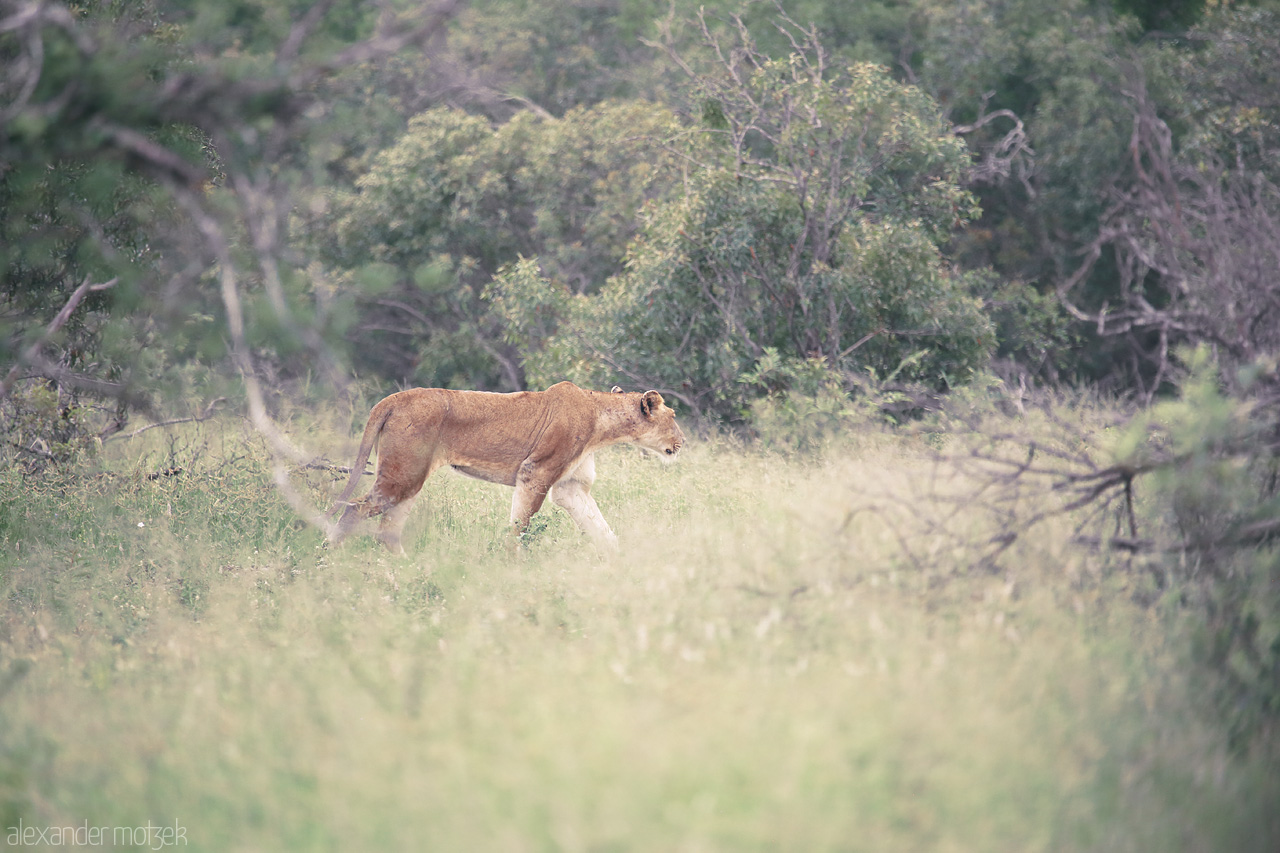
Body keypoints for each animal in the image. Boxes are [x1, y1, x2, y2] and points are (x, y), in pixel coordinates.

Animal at [328, 381, 684, 554]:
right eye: (674, 416)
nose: (683, 442)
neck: (601, 424)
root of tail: (390, 400)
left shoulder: (570, 487)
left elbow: (602, 529)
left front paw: (619, 562)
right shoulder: (535, 472)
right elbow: (520, 527)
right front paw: (512, 561)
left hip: (410, 480)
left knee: (387, 531)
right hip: (402, 476)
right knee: (354, 510)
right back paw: (329, 561)